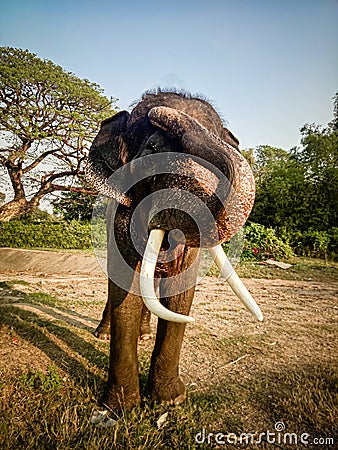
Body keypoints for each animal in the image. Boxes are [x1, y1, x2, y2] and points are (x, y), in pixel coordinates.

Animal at [84, 89, 262, 412]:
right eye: (150, 153)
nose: (159, 112)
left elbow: (180, 293)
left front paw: (170, 400)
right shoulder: (120, 216)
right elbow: (126, 290)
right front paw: (121, 407)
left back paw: (144, 335)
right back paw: (103, 334)